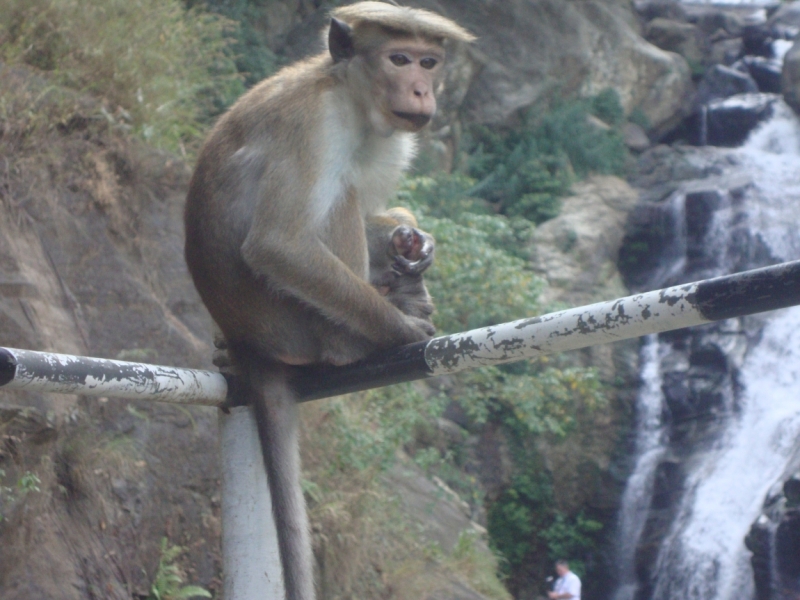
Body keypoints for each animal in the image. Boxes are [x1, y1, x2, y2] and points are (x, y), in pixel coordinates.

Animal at [184, 2, 472, 596]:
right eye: (400, 59)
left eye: (428, 62)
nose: (420, 89)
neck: (349, 97)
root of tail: (247, 342)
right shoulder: (313, 126)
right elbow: (279, 245)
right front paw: (402, 329)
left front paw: (413, 242)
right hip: (294, 326)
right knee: (340, 196)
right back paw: (363, 340)